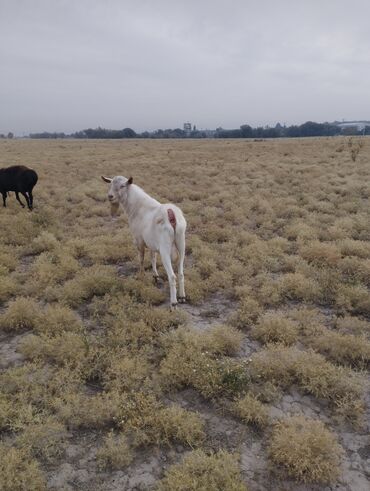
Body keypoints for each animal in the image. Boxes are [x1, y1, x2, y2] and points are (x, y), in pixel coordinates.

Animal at [101, 176, 186, 308]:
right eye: (110, 184)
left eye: (122, 186)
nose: (110, 196)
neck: (137, 207)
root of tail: (171, 214)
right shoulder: (152, 244)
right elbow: (153, 258)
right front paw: (155, 276)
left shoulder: (139, 240)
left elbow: (141, 258)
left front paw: (141, 276)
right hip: (181, 245)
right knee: (181, 273)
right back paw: (182, 297)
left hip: (165, 249)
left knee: (172, 276)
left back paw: (174, 302)